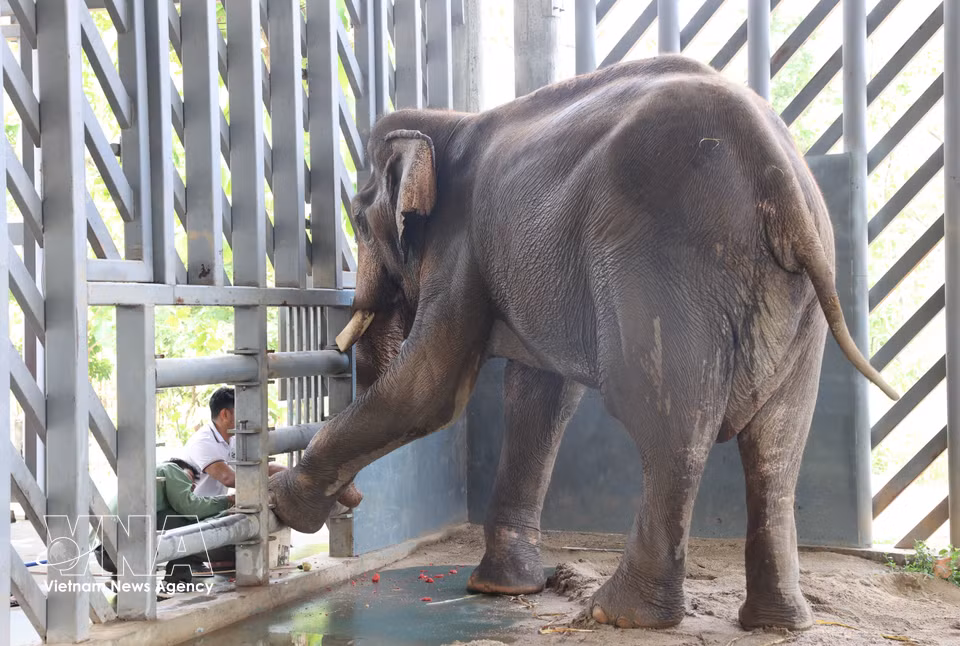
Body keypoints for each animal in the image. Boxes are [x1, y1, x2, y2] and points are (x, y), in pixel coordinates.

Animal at [269, 55, 899, 631]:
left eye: (358, 219)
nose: (353, 500)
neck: (449, 122)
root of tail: (778, 173)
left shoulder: (462, 242)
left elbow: (432, 387)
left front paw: (280, 501)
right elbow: (541, 397)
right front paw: (501, 589)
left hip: (664, 263)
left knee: (669, 425)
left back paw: (619, 614)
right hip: (805, 298)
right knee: (778, 444)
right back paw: (778, 623)